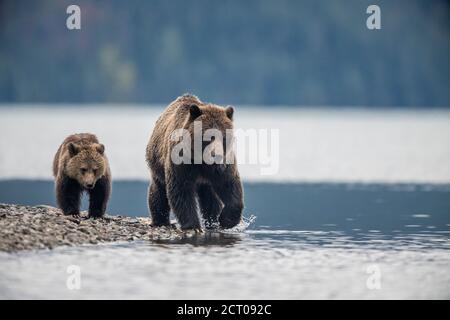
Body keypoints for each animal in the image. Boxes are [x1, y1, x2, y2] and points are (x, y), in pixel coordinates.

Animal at [146, 94, 244, 231]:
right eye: (208, 136)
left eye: (224, 137)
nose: (216, 155)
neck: (200, 161)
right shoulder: (181, 162)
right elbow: (181, 190)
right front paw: (193, 225)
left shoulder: (223, 165)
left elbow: (230, 185)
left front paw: (226, 220)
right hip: (157, 163)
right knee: (158, 192)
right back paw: (160, 220)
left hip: (205, 183)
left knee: (210, 198)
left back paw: (212, 221)